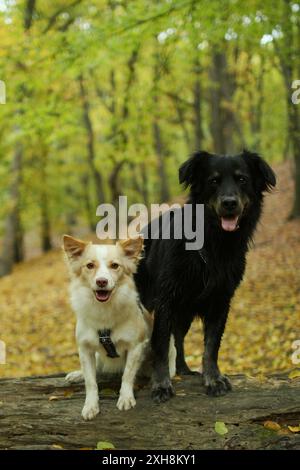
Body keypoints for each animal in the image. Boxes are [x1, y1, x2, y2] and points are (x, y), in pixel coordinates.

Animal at [135, 149, 276, 402]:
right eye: (213, 181)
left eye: (242, 179)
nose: (229, 203)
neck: (213, 245)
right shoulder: (165, 300)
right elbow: (160, 343)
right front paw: (160, 384)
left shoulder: (221, 301)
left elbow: (212, 345)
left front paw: (213, 378)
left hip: (184, 314)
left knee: (179, 338)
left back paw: (183, 369)